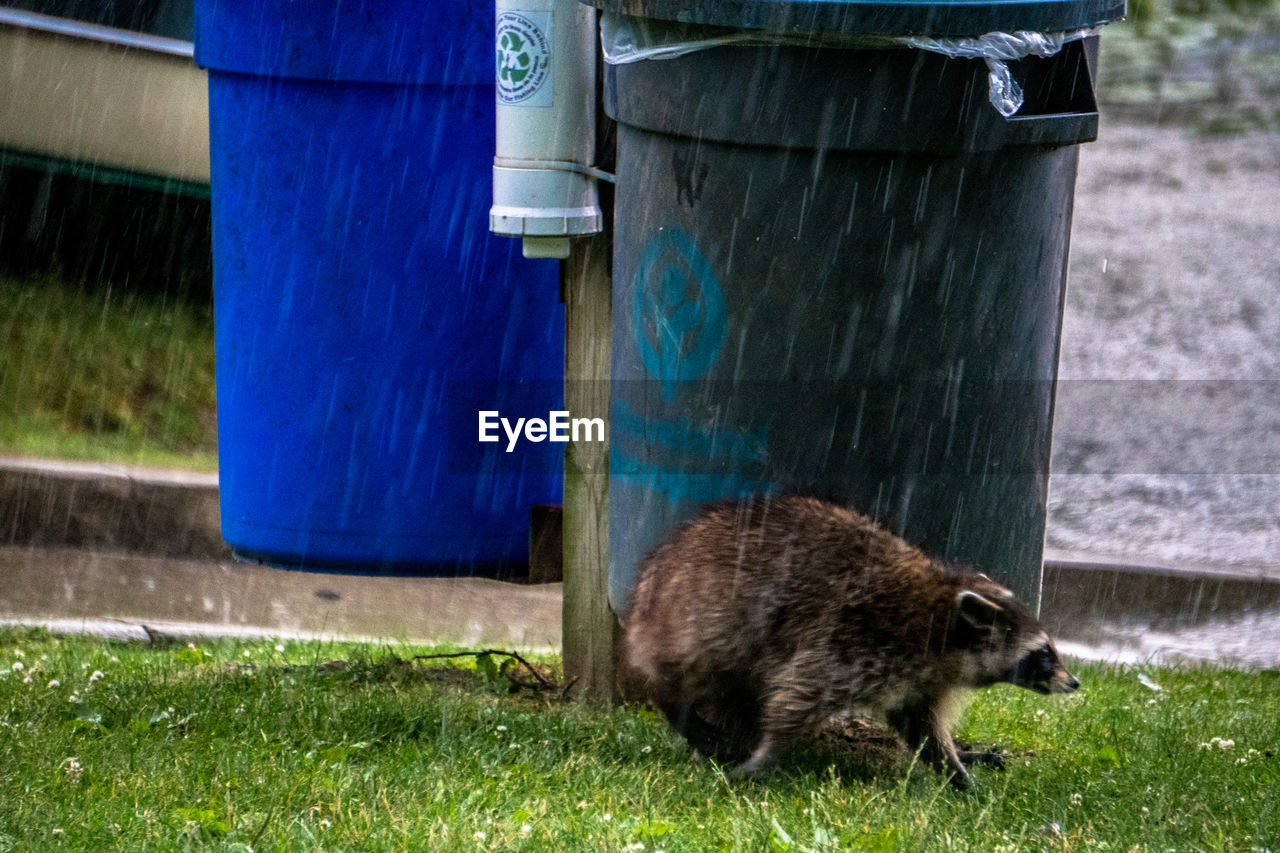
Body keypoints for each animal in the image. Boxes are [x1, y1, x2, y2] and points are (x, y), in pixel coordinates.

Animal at [619, 494, 1080, 788]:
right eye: (1042, 653)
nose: (1074, 682)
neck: (938, 615)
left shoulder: (918, 681)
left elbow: (923, 729)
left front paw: (957, 771)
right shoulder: (854, 642)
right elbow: (796, 697)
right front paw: (767, 755)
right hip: (699, 619)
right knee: (689, 675)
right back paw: (686, 715)